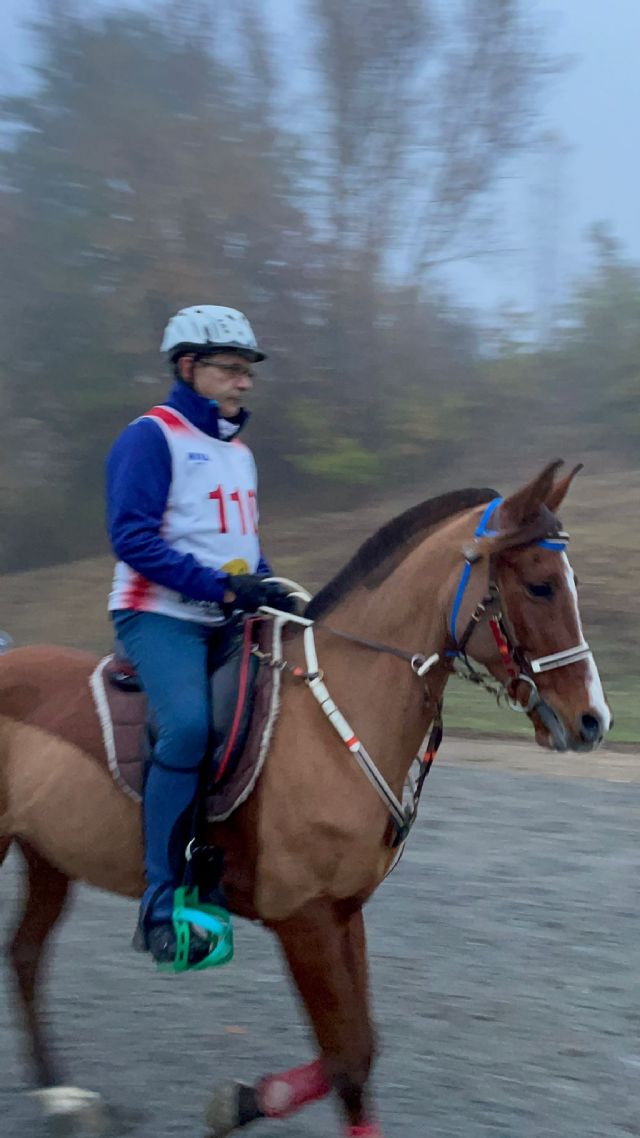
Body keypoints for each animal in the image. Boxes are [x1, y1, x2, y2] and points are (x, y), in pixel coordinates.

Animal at [0, 457, 605, 1133]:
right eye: (541, 586)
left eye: (569, 581)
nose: (592, 720)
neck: (331, 719)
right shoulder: (304, 920)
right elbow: (346, 1059)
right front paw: (238, 1102)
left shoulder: (344, 912)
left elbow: (359, 1050)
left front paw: (243, 1101)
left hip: (46, 854)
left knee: (24, 955)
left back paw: (62, 1097)